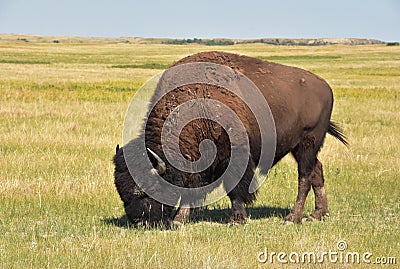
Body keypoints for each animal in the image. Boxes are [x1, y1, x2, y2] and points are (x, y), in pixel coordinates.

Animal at [112, 50, 346, 226]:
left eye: (148, 189)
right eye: (121, 192)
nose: (139, 222)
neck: (198, 100)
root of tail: (325, 87)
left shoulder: (232, 154)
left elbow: (234, 188)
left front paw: (236, 219)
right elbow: (192, 189)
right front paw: (180, 219)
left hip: (308, 143)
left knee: (304, 177)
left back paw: (292, 218)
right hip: (300, 147)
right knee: (317, 171)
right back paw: (318, 214)